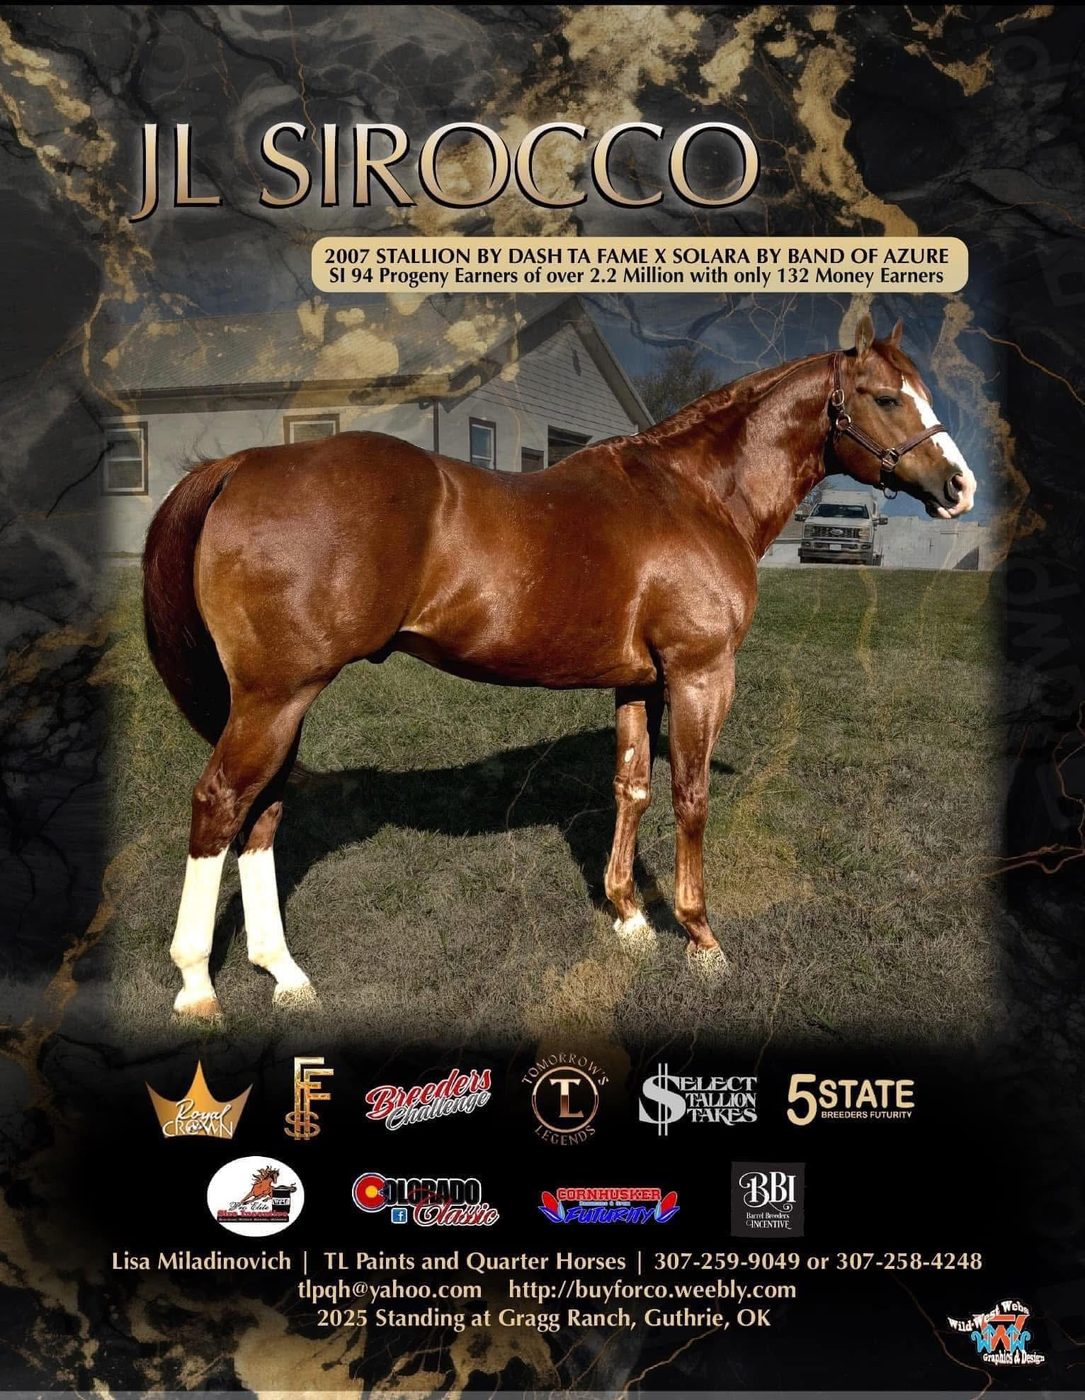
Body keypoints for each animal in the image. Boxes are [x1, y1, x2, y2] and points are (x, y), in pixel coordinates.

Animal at [142, 313, 976, 1020]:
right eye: (884, 397)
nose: (959, 487)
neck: (695, 494)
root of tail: (244, 462)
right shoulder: (700, 674)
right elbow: (691, 797)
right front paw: (700, 939)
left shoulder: (638, 682)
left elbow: (631, 787)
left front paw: (629, 918)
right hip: (275, 698)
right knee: (220, 805)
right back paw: (196, 987)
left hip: (281, 703)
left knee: (263, 812)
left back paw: (283, 974)